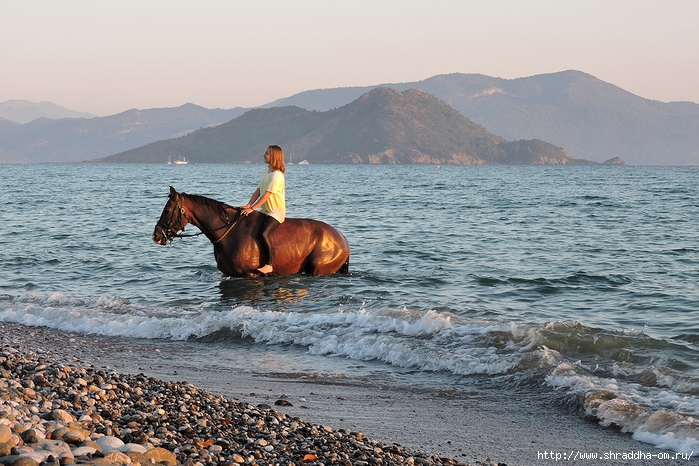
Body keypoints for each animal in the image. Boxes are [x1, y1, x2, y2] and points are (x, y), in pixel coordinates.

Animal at [153, 187, 350, 278]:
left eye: (167, 210)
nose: (156, 235)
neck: (228, 232)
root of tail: (342, 238)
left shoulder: (249, 275)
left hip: (319, 269)